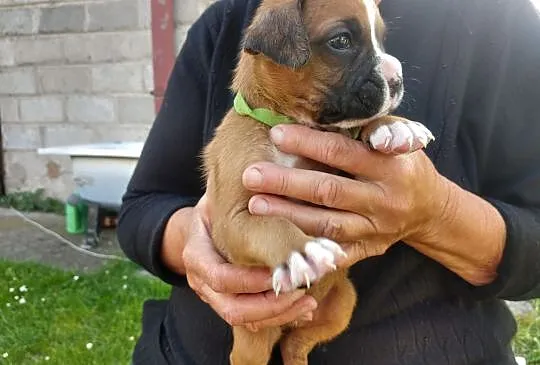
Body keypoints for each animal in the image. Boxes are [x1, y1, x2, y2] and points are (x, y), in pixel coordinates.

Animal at [202, 0, 434, 364]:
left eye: (382, 40)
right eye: (341, 41)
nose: (396, 79)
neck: (288, 121)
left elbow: (357, 126)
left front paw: (393, 125)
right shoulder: (231, 220)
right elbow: (269, 223)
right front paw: (302, 251)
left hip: (342, 303)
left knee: (296, 345)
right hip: (251, 341)